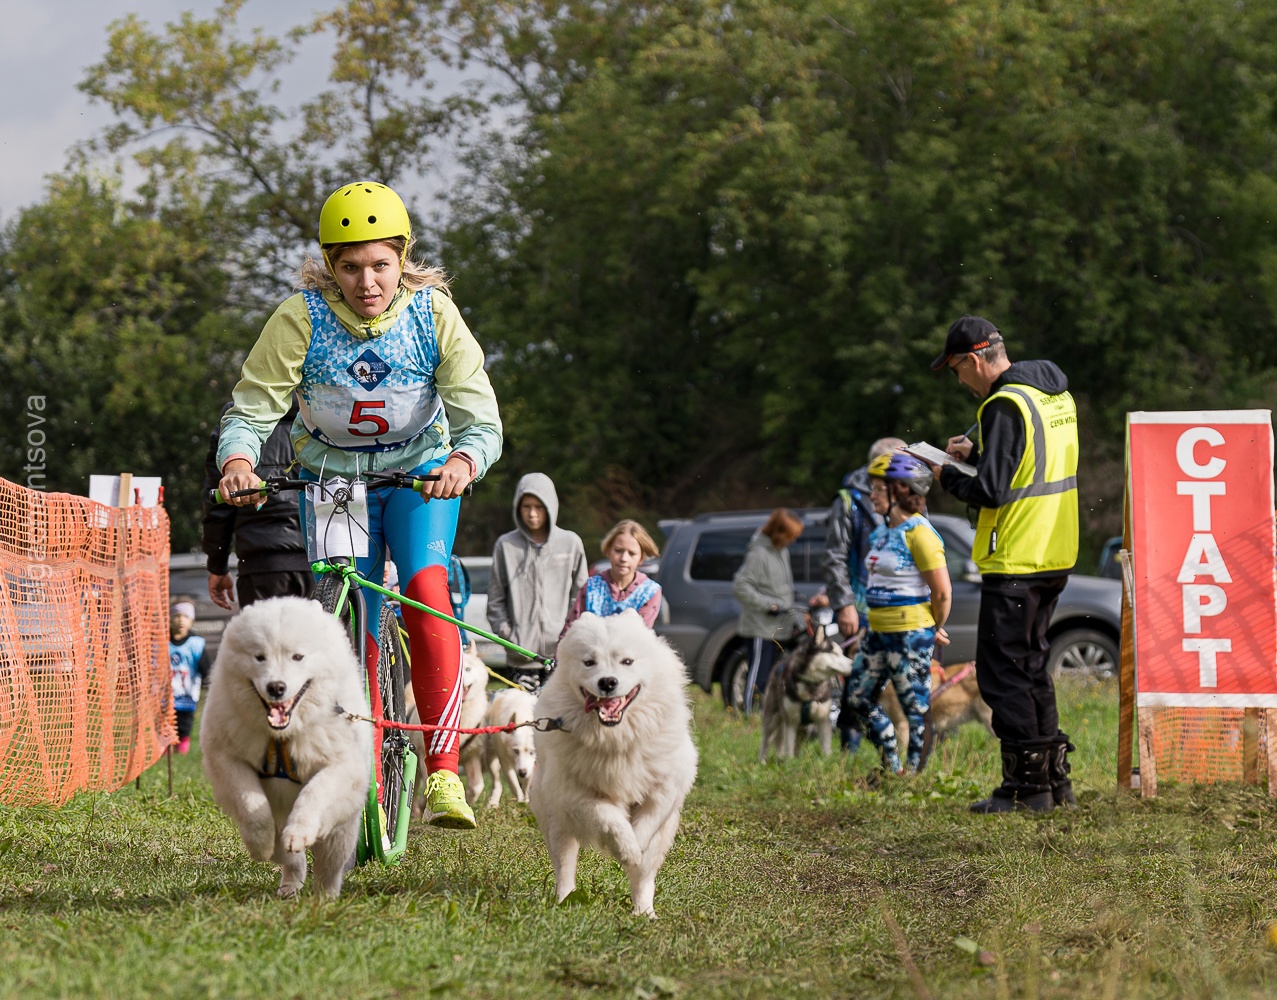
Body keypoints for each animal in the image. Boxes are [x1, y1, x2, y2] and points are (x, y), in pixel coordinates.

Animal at [199, 597, 370, 904]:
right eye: (259, 657)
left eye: (297, 657)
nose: (276, 687)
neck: (282, 737)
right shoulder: (227, 758)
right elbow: (251, 803)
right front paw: (259, 843)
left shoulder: (339, 767)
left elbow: (313, 794)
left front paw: (299, 831)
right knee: (290, 859)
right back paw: (290, 883)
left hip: (340, 833)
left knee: (328, 868)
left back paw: (325, 897)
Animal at [528, 605, 699, 919]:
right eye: (589, 662)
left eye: (627, 661)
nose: (608, 682)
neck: (616, 738)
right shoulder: (575, 794)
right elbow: (608, 816)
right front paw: (625, 848)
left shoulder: (664, 790)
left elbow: (644, 829)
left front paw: (632, 851)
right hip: (558, 825)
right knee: (565, 869)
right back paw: (564, 902)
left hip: (662, 837)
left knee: (644, 878)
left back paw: (644, 912)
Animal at [755, 625, 858, 761]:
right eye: (833, 653)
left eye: (841, 653)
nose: (855, 664)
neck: (811, 684)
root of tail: (779, 663)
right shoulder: (791, 722)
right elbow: (789, 750)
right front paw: (790, 763)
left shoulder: (823, 720)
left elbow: (826, 748)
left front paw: (827, 761)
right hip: (772, 718)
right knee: (766, 741)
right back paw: (762, 761)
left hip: (804, 729)